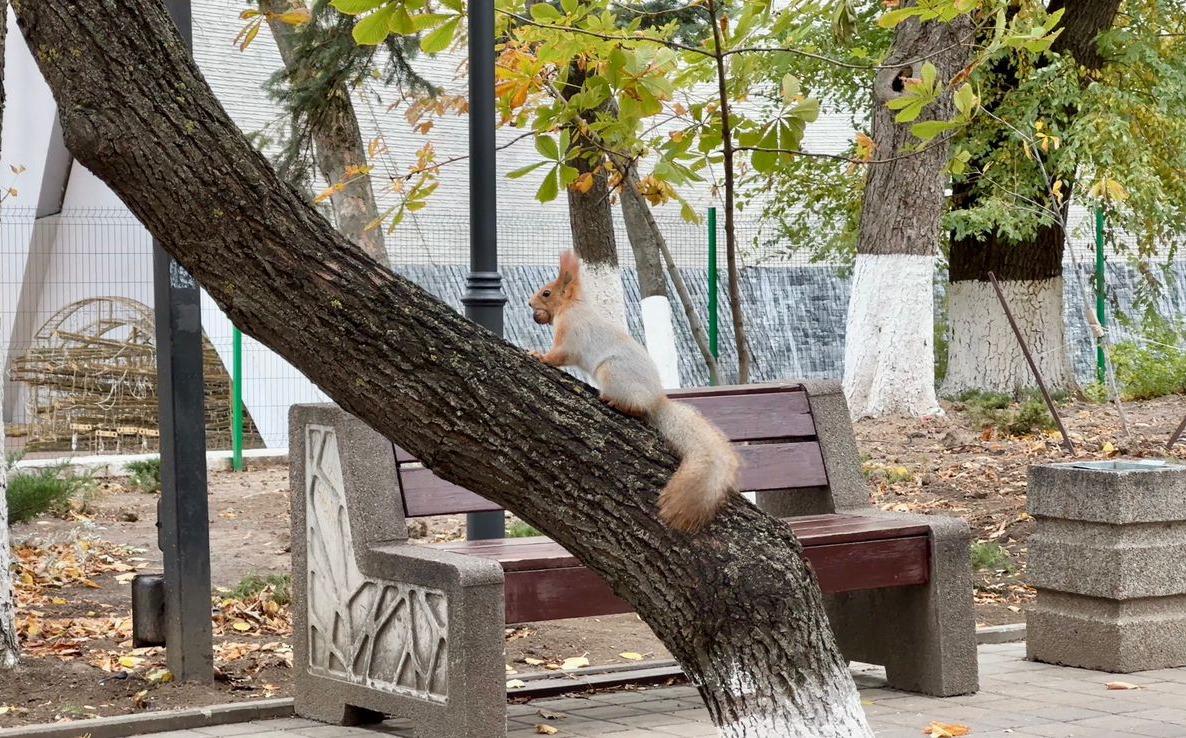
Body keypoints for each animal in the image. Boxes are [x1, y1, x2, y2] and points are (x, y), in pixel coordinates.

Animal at [531, 251, 740, 533]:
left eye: (546, 293)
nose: (530, 304)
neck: (573, 307)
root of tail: (656, 401)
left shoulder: (570, 334)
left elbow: (560, 355)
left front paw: (539, 356)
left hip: (611, 373)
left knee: (637, 409)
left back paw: (615, 402)